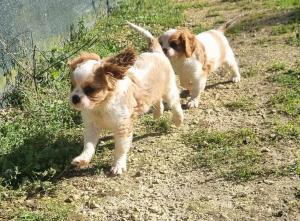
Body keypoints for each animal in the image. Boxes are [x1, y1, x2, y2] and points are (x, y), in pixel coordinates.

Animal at [68, 39, 183, 175]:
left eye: (90, 90)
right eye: (72, 86)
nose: (75, 98)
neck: (101, 106)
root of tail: (156, 53)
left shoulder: (122, 127)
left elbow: (120, 148)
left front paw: (118, 165)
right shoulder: (92, 126)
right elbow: (89, 145)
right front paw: (83, 159)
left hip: (168, 90)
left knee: (175, 103)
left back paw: (178, 120)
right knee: (157, 100)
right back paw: (158, 113)